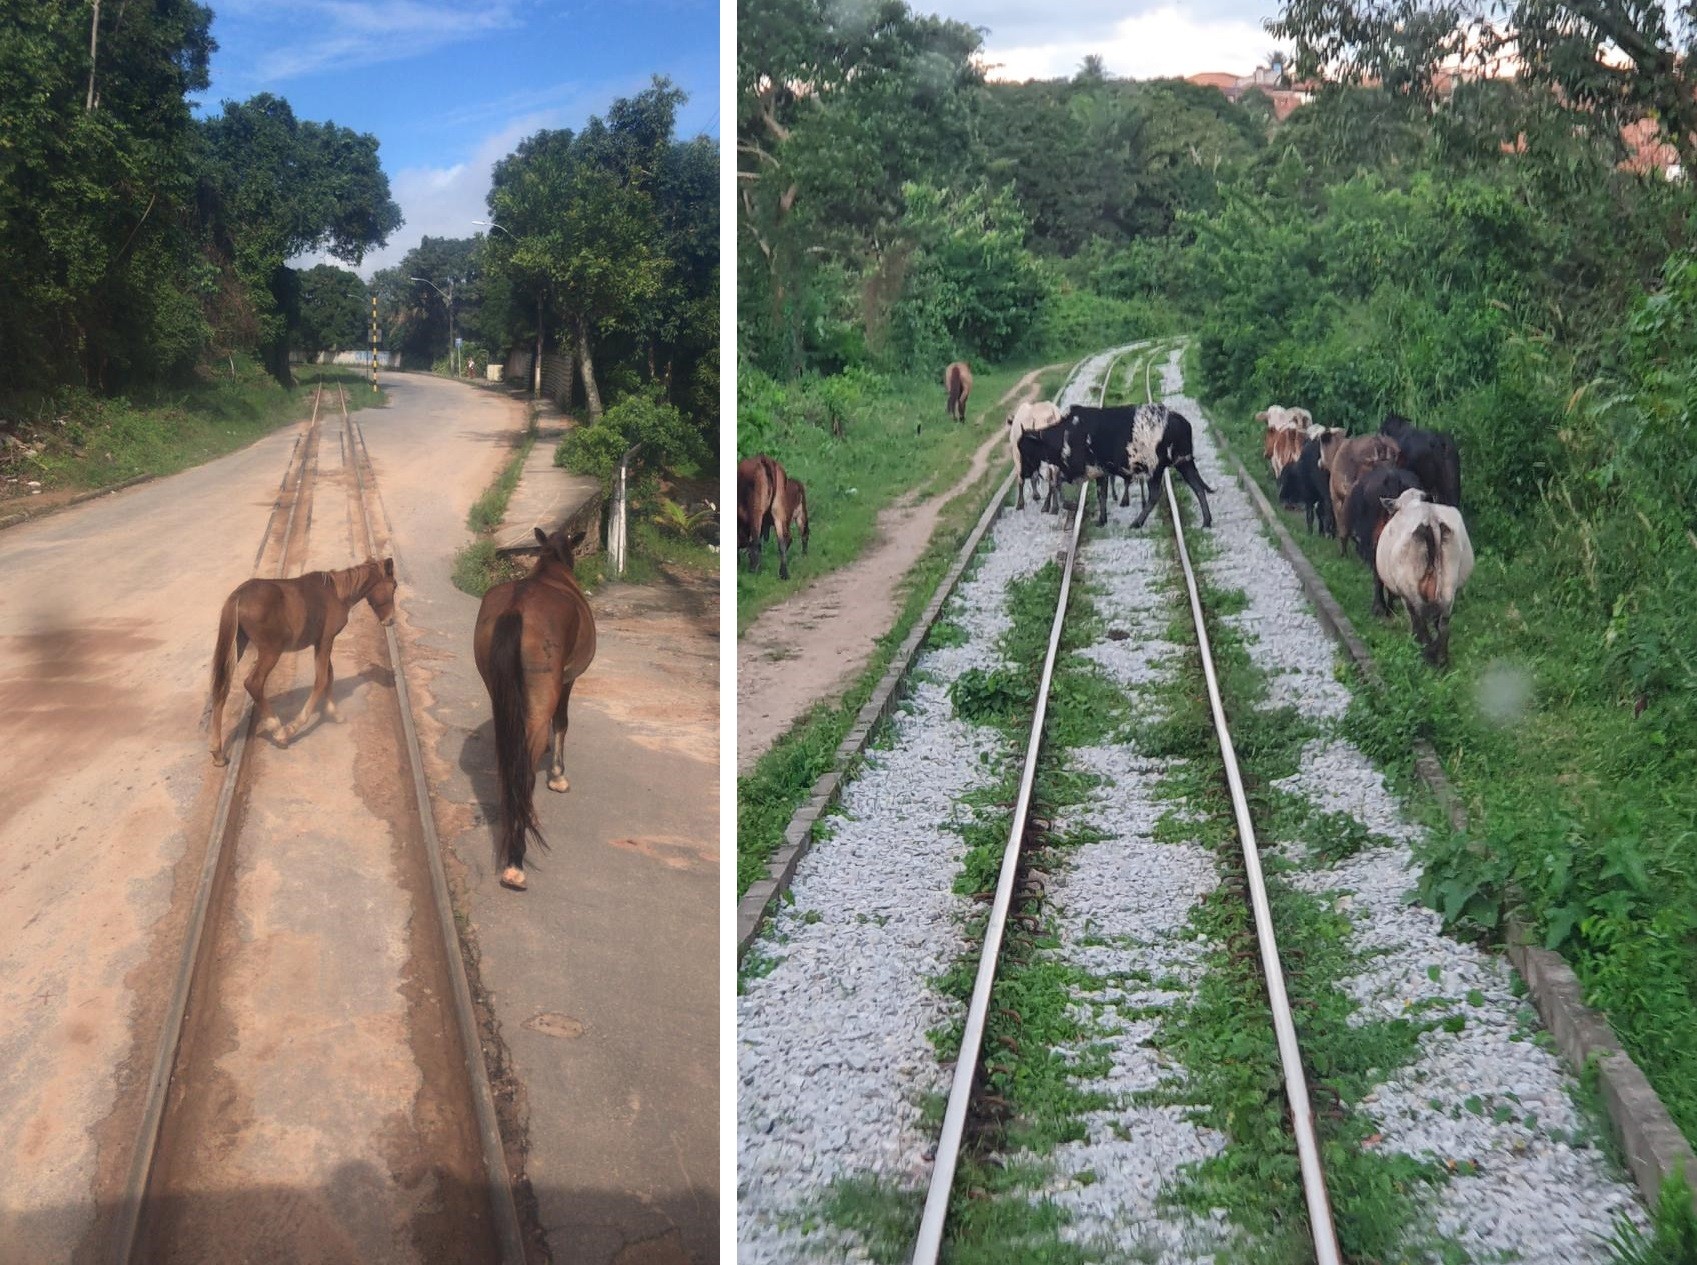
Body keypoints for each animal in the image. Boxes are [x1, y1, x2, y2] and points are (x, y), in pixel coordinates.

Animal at [208, 556, 397, 764]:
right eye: (394, 585)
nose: (391, 620)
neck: (337, 593)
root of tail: (238, 596)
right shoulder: (326, 640)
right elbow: (322, 680)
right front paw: (292, 728)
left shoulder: (320, 643)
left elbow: (329, 675)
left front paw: (334, 713)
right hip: (270, 651)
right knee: (253, 683)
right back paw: (278, 730)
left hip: (237, 646)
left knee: (221, 688)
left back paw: (217, 753)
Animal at [471, 522, 597, 889]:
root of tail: (517, 608)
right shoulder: (568, 679)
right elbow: (562, 722)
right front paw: (557, 775)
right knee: (524, 767)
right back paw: (516, 861)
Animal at [739, 451, 790, 580]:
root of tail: (764, 459)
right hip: (778, 511)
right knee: (781, 542)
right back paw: (784, 573)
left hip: (756, 512)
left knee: (756, 541)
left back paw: (754, 570)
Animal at [1011, 402, 1215, 526]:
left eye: (1025, 448)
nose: (1024, 473)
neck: (1065, 434)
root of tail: (1178, 419)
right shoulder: (1100, 471)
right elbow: (1100, 494)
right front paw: (1101, 519)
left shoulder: (1079, 470)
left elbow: (1056, 484)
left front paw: (1062, 506)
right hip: (1184, 461)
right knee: (1197, 486)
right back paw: (1206, 520)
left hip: (1154, 468)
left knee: (1155, 495)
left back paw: (1137, 522)